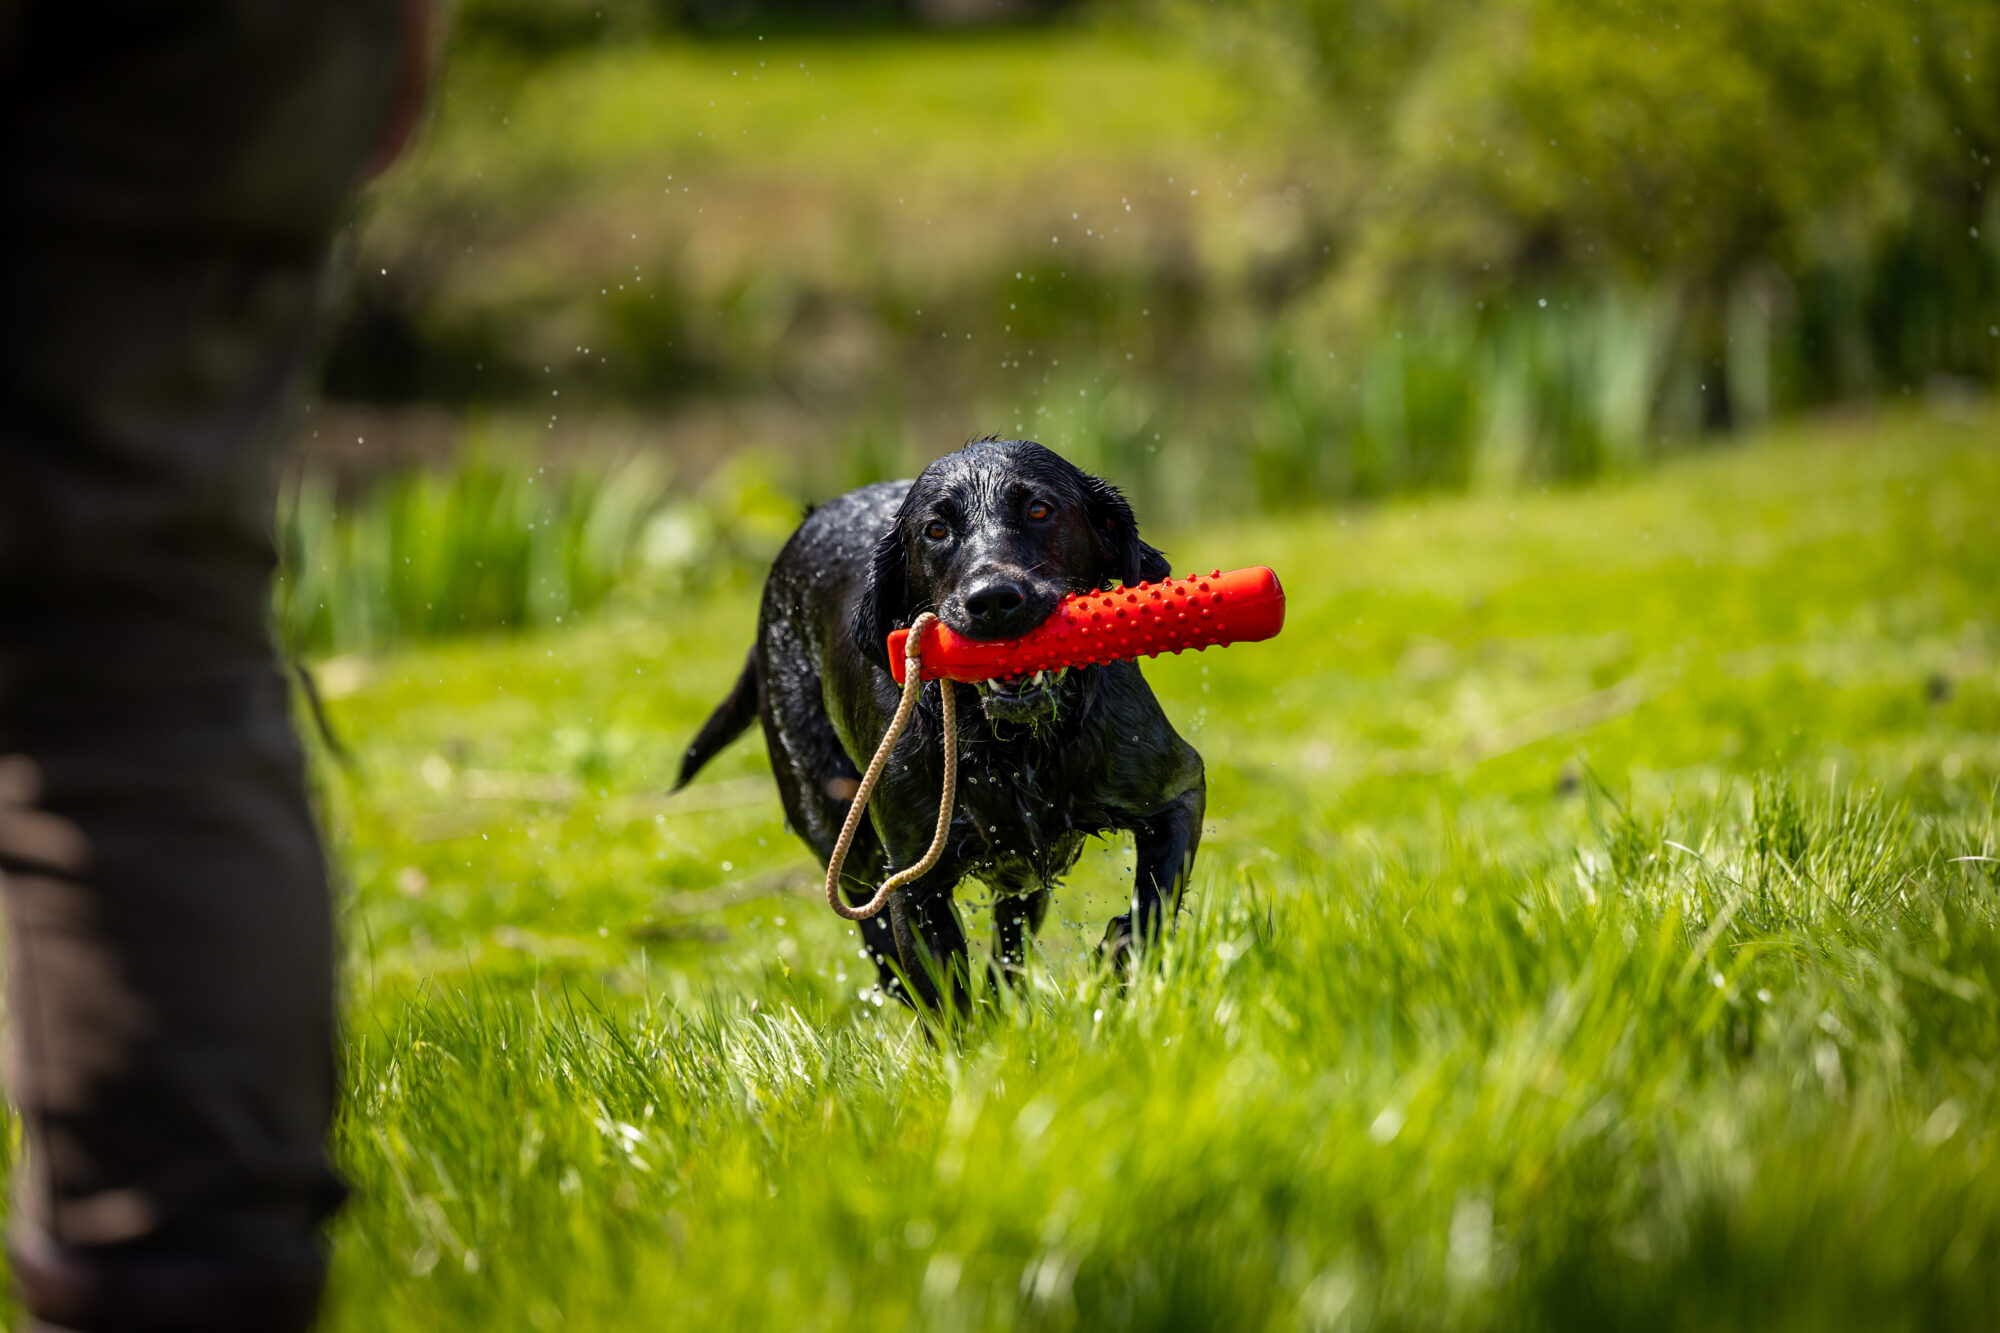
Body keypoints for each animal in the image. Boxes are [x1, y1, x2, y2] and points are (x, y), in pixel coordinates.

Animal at [672, 436, 1200, 1008]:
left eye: (1039, 509)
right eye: (936, 530)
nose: (992, 599)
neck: (1015, 748)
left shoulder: (1175, 792)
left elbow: (1153, 908)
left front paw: (1114, 960)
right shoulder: (911, 881)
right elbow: (948, 1002)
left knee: (1012, 929)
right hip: (834, 824)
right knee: (877, 931)